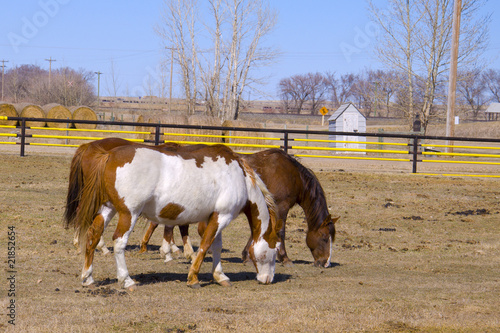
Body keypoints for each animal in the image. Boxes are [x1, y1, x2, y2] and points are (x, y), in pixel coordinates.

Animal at [64, 140, 280, 288]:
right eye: (275, 250)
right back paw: (126, 280)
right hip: (128, 213)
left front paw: (220, 276)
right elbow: (205, 245)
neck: (239, 176)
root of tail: (108, 155)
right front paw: (193, 278)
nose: (268, 279)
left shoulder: (214, 216)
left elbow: (216, 246)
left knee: (92, 236)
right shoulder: (222, 216)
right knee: (118, 242)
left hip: (108, 208)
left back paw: (88, 277)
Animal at [141, 148, 338, 268]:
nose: (325, 262)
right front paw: (285, 258)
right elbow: (279, 231)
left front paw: (247, 255)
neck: (292, 175)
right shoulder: (281, 207)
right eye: (324, 237)